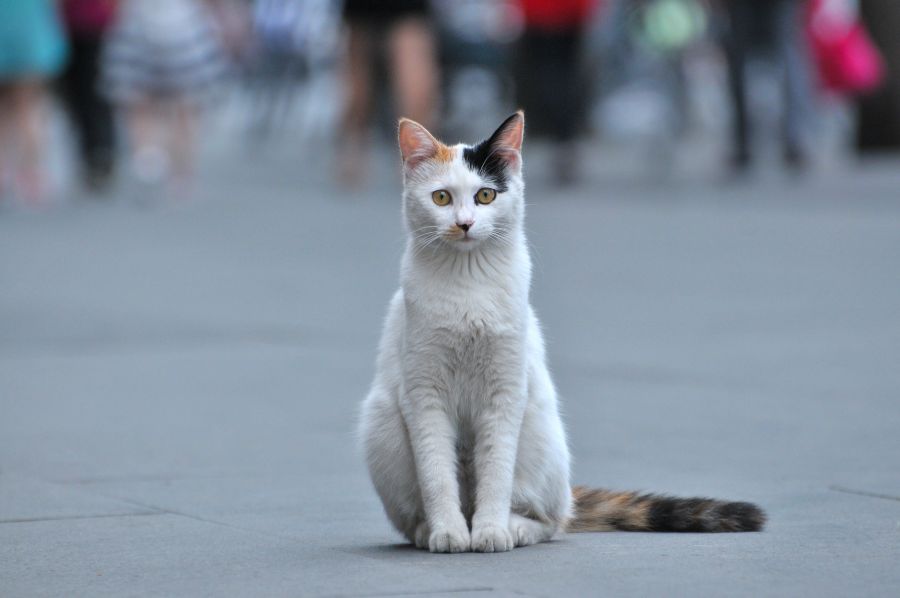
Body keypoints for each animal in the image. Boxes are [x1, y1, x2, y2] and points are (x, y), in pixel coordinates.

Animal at [358, 112, 768, 552]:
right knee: (413, 515)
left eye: (485, 196)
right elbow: (436, 473)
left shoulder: (506, 391)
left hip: (540, 436)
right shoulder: (424, 395)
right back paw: (427, 530)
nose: (464, 224)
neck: (468, 283)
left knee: (553, 519)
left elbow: (497, 473)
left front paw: (490, 532)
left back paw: (515, 528)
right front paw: (448, 532)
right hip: (383, 425)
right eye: (440, 198)